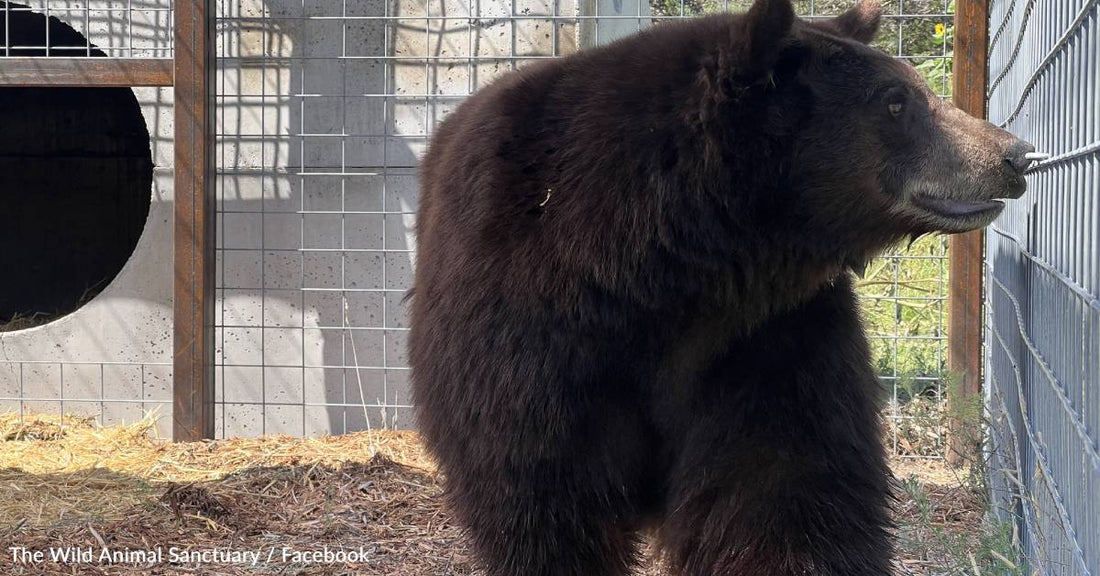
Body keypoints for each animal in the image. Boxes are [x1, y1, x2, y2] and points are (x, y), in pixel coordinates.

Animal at [404, 1, 1029, 571]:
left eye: (915, 88)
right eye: (897, 101)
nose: (1014, 154)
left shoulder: (766, 340)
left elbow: (784, 488)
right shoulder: (530, 336)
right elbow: (541, 496)